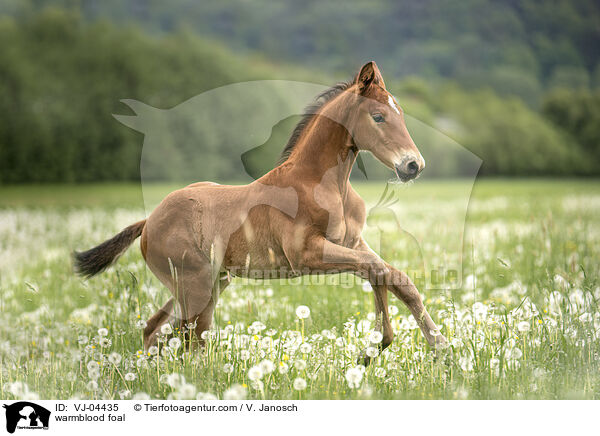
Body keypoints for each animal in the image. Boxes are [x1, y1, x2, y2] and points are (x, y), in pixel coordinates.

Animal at [75, 59, 448, 362]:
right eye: (378, 116)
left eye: (400, 114)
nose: (413, 165)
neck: (324, 185)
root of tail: (149, 220)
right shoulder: (306, 256)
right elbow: (376, 270)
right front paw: (375, 347)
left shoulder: (353, 243)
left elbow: (395, 278)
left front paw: (437, 348)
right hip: (195, 285)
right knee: (191, 338)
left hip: (213, 282)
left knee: (159, 330)